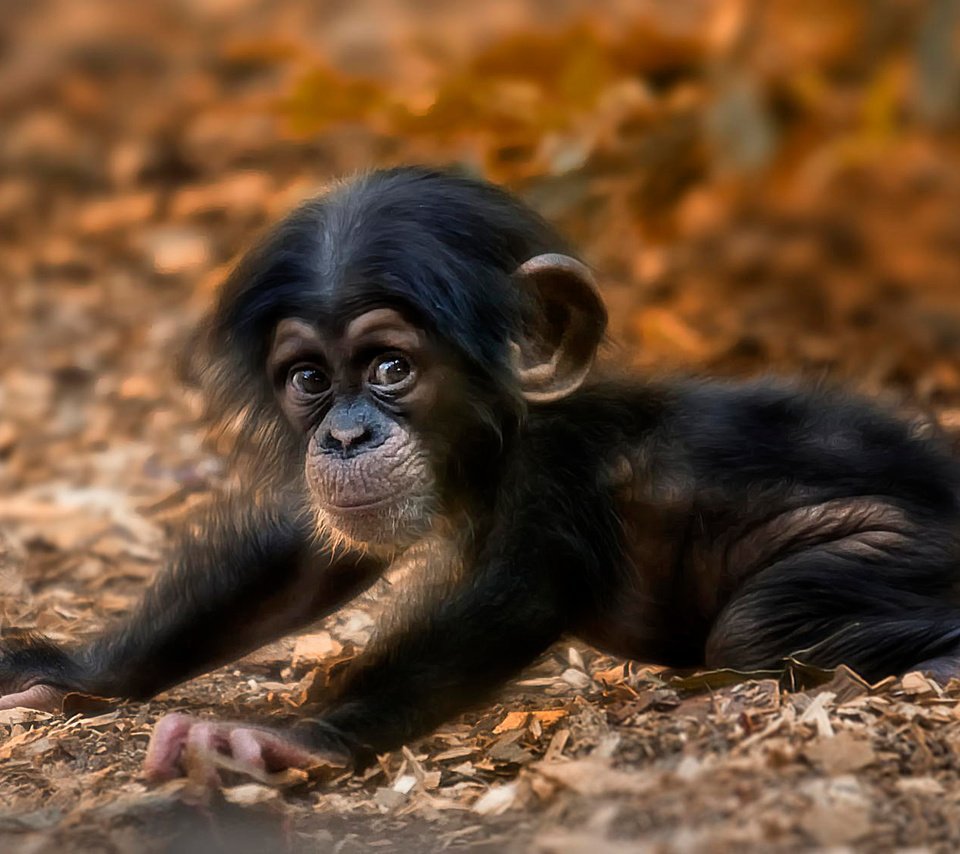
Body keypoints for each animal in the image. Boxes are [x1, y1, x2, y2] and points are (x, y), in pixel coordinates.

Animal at [2, 166, 960, 782]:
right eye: (310, 379)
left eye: (390, 366)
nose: (344, 436)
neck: (500, 438)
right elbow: (304, 560)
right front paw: (73, 671)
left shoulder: (556, 477)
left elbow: (511, 601)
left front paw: (293, 743)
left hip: (903, 553)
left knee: (758, 627)